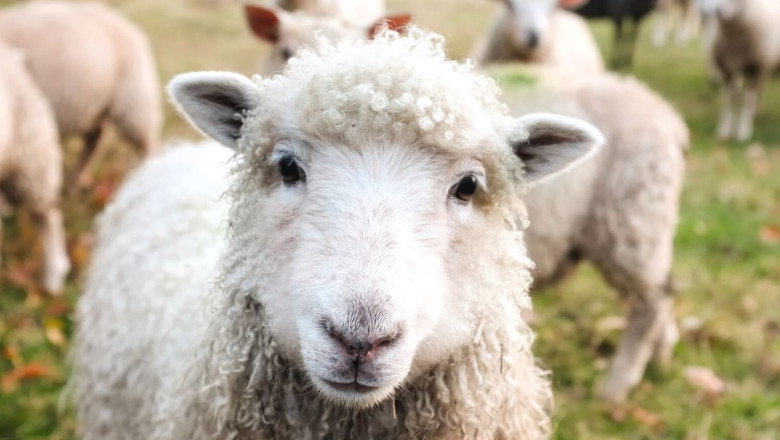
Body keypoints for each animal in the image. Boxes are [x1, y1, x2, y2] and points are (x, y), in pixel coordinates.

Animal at [707, 0, 780, 142]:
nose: (718, 12)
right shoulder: (728, 71)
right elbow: (728, 100)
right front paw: (724, 130)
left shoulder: (754, 70)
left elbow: (748, 100)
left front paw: (743, 132)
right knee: (760, 89)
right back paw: (757, 112)